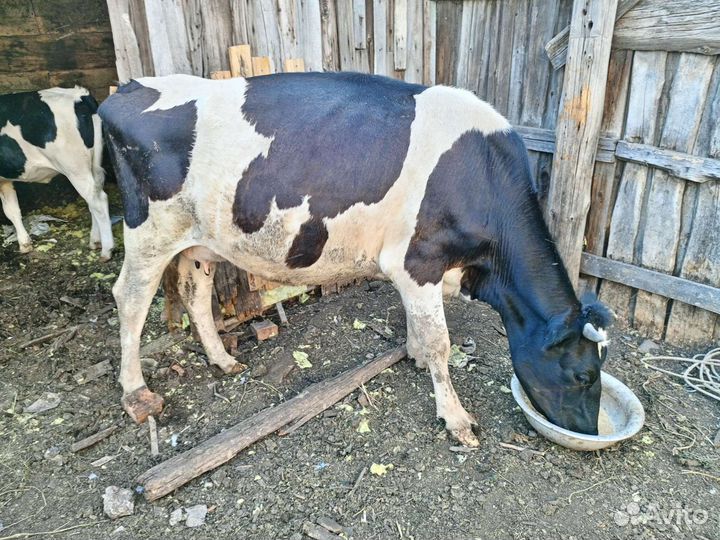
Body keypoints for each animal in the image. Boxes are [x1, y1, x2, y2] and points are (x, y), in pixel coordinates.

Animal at [0, 87, 114, 260]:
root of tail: (79, 95)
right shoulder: (4, 180)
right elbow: (12, 210)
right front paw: (25, 244)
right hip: (93, 165)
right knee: (93, 198)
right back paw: (95, 241)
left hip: (75, 167)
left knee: (98, 201)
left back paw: (107, 250)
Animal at [100, 72, 612, 447]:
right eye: (584, 374)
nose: (587, 431)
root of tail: (128, 88)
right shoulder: (420, 260)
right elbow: (441, 342)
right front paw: (456, 418)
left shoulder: (411, 270)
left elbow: (420, 328)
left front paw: (414, 356)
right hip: (149, 231)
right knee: (129, 299)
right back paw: (136, 392)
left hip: (196, 240)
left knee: (194, 292)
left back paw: (223, 360)